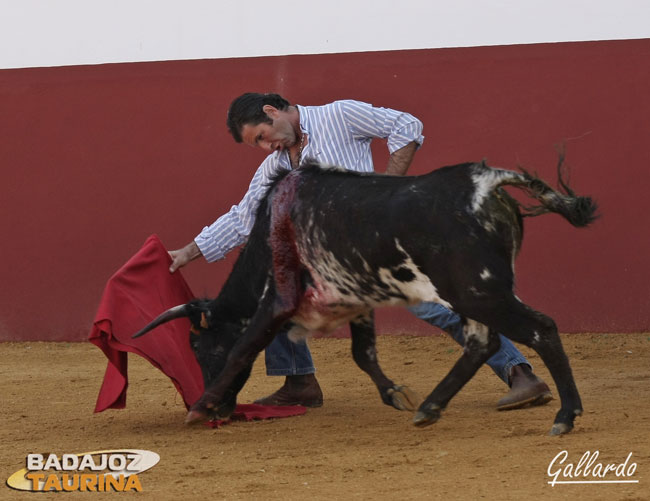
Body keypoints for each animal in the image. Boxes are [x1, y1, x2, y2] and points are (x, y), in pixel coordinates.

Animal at [134, 156, 596, 434]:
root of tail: (487, 181)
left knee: (539, 329)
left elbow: (244, 347)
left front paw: (201, 405)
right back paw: (430, 407)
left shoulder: (278, 299)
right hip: (473, 295)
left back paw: (565, 415)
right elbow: (363, 353)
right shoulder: (358, 301)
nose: (223, 411)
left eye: (200, 347)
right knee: (482, 342)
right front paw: (395, 394)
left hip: (477, 292)